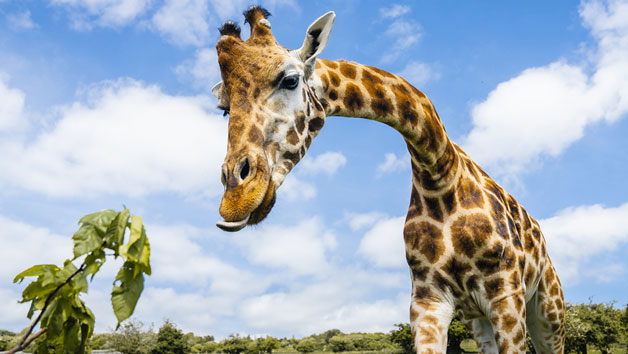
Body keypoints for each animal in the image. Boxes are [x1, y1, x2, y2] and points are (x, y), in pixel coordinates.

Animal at [213, 6, 568, 354]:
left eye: (289, 80)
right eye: (224, 108)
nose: (237, 199)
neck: (440, 176)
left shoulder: (504, 293)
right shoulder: (428, 299)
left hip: (548, 310)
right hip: (477, 319)